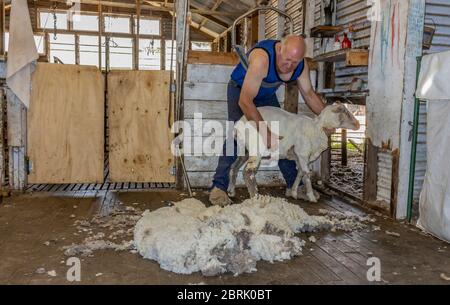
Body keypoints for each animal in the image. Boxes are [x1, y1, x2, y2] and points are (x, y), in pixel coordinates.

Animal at [230, 102, 360, 202]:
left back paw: (231, 192)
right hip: (256, 148)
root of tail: (237, 126)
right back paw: (256, 197)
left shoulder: (301, 157)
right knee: (248, 172)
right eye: (345, 111)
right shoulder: (302, 153)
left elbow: (300, 172)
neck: (316, 129)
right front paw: (311, 197)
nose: (358, 124)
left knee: (234, 167)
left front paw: (294, 192)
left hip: (244, 149)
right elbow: (307, 174)